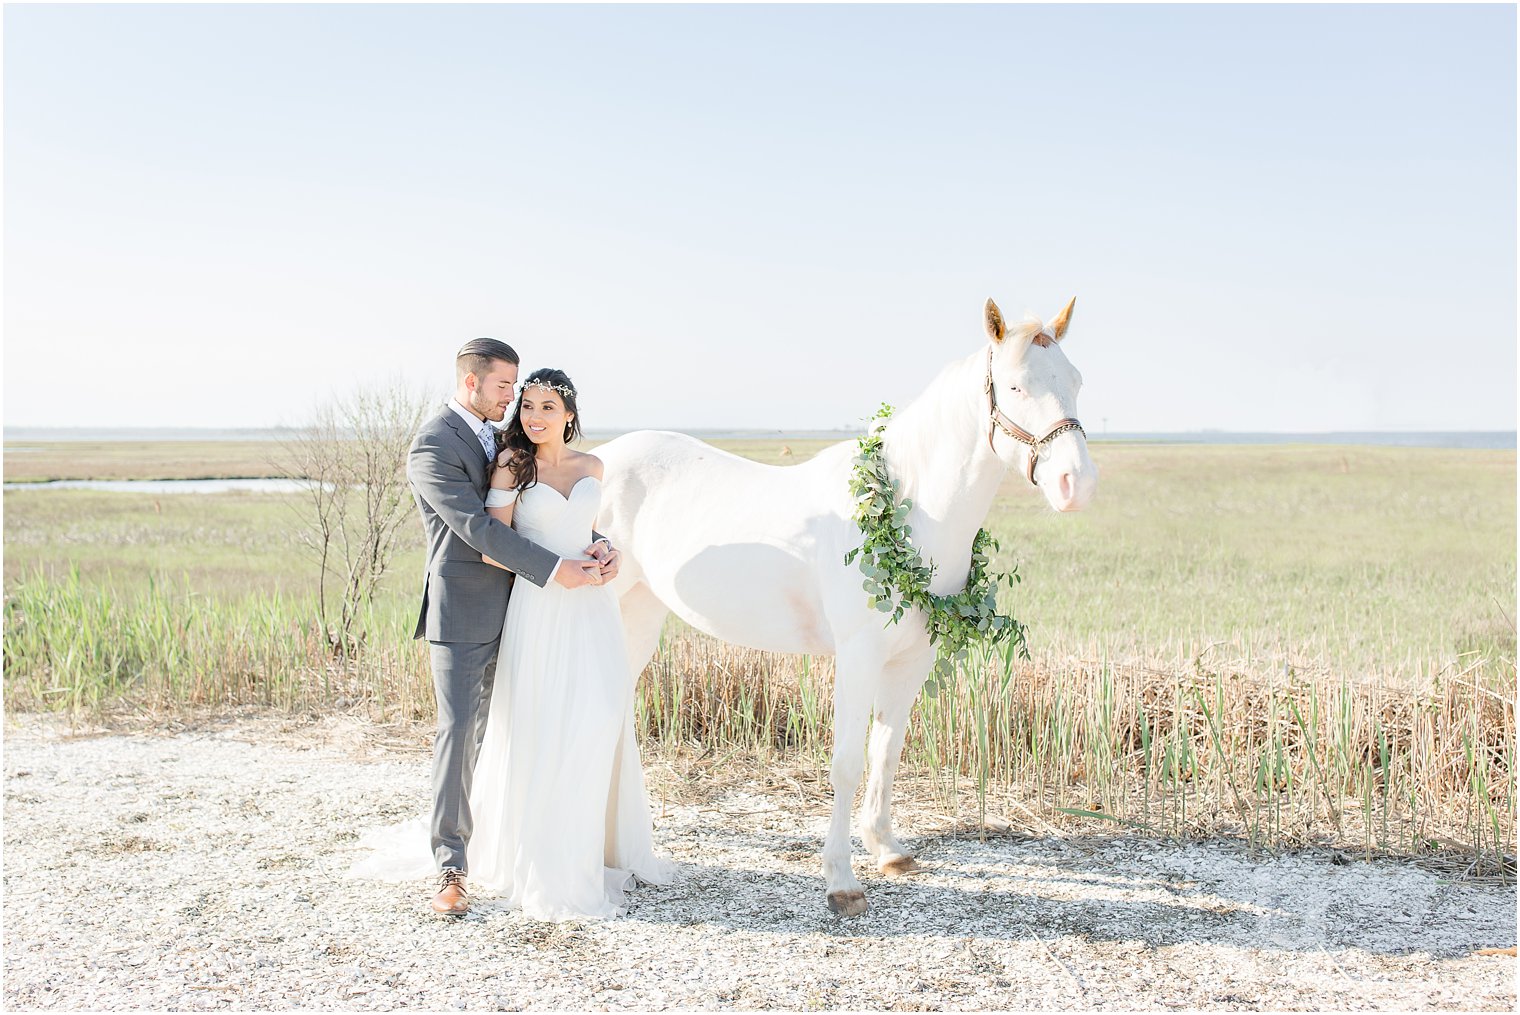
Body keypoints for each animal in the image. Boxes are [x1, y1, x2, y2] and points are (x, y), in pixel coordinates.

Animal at [592, 297, 1094, 917]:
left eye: (1076, 380)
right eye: (1017, 385)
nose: (1076, 483)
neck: (905, 509)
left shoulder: (911, 660)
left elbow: (887, 752)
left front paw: (887, 849)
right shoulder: (857, 658)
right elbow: (848, 762)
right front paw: (841, 879)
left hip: (639, 613)